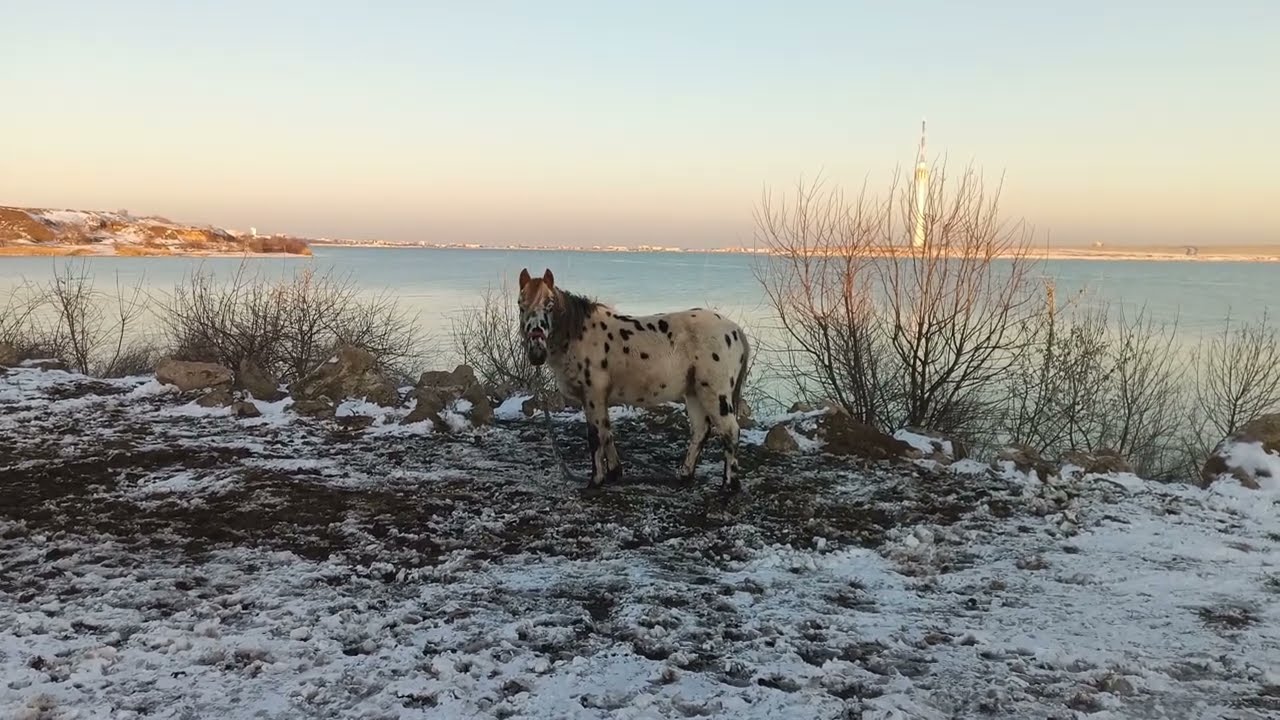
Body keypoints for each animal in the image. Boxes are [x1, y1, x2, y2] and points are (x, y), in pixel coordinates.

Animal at [517, 267, 751, 492]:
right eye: (521, 305)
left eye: (550, 305)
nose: (536, 352)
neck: (580, 335)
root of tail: (736, 330)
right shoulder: (598, 399)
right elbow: (606, 432)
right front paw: (614, 472)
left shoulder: (592, 396)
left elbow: (595, 436)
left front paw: (596, 480)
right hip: (694, 393)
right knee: (701, 431)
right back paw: (685, 475)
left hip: (714, 394)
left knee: (730, 432)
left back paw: (728, 486)